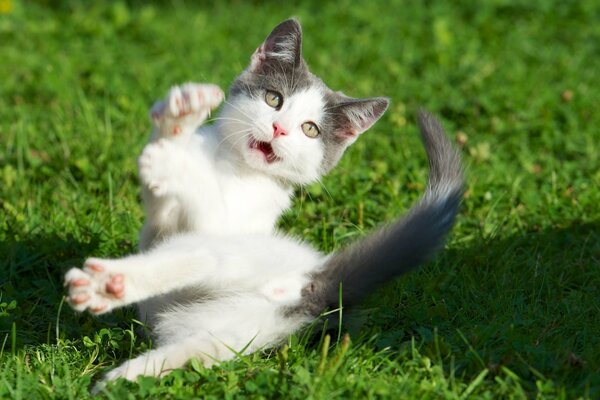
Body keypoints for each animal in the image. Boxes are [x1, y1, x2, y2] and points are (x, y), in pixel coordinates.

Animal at [63, 109, 464, 384]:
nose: (277, 128)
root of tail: (310, 284)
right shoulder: (165, 225)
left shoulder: (196, 223)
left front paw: (174, 135)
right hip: (228, 330)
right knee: (189, 348)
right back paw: (120, 376)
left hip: (230, 260)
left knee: (194, 258)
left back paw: (107, 286)